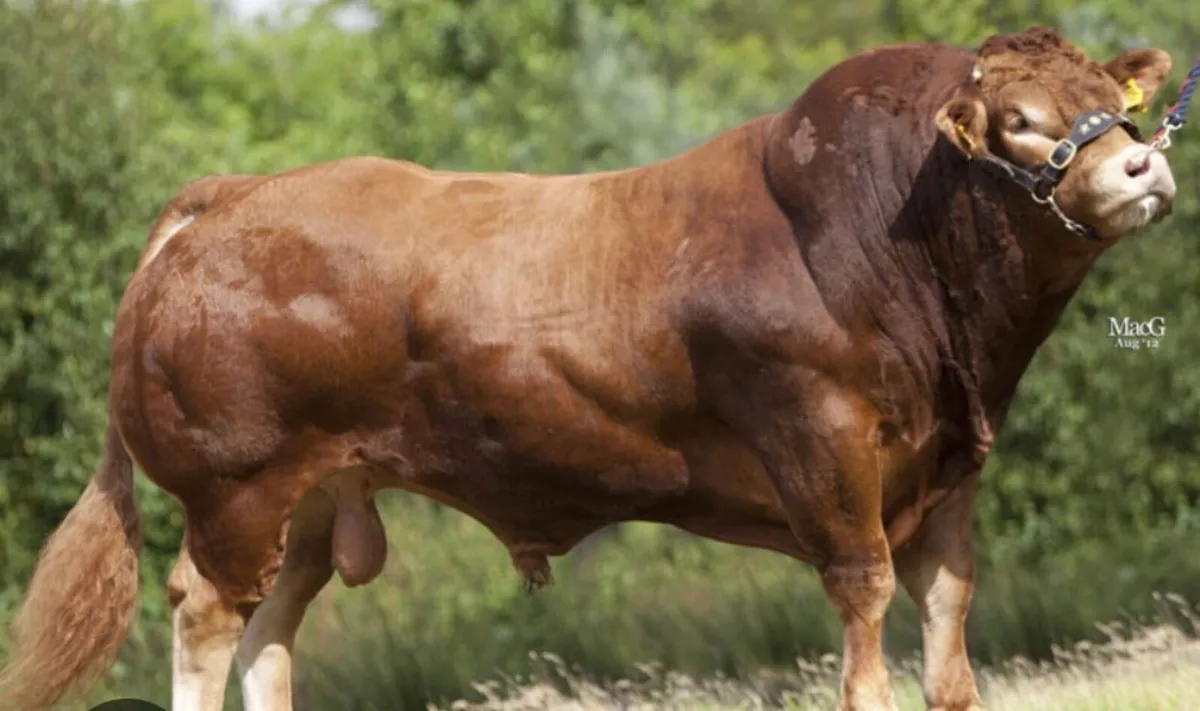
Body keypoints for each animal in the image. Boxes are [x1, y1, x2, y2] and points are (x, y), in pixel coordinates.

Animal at [0, 25, 1178, 711]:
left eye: (1112, 99)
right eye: (1017, 123)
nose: (1142, 163)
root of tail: (233, 196)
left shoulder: (947, 470)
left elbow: (951, 647)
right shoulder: (827, 450)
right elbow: (865, 617)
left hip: (313, 499)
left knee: (270, 631)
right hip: (236, 488)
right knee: (206, 616)